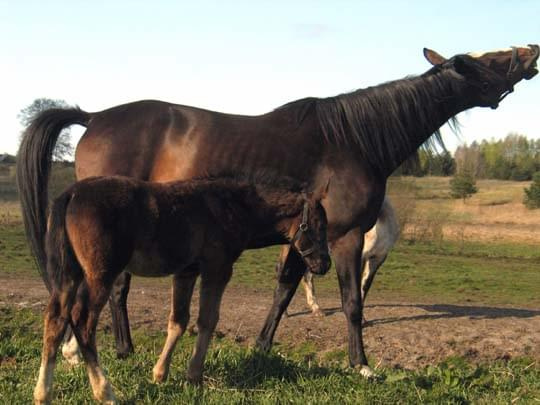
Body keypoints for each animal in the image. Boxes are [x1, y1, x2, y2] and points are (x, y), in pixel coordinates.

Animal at [17, 44, 540, 376]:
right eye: (486, 60)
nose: (530, 49)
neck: (354, 141)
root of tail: (93, 117)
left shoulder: (303, 238)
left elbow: (284, 291)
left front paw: (263, 347)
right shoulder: (346, 236)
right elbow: (352, 303)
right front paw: (361, 364)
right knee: (109, 289)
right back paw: (104, 351)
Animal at [33, 176, 332, 404]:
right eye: (317, 226)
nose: (324, 264)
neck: (233, 207)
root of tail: (70, 194)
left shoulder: (186, 272)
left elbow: (178, 321)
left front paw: (160, 374)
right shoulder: (217, 269)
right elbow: (207, 320)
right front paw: (194, 375)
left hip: (70, 275)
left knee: (55, 319)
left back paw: (42, 394)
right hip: (100, 276)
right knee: (82, 322)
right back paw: (105, 392)